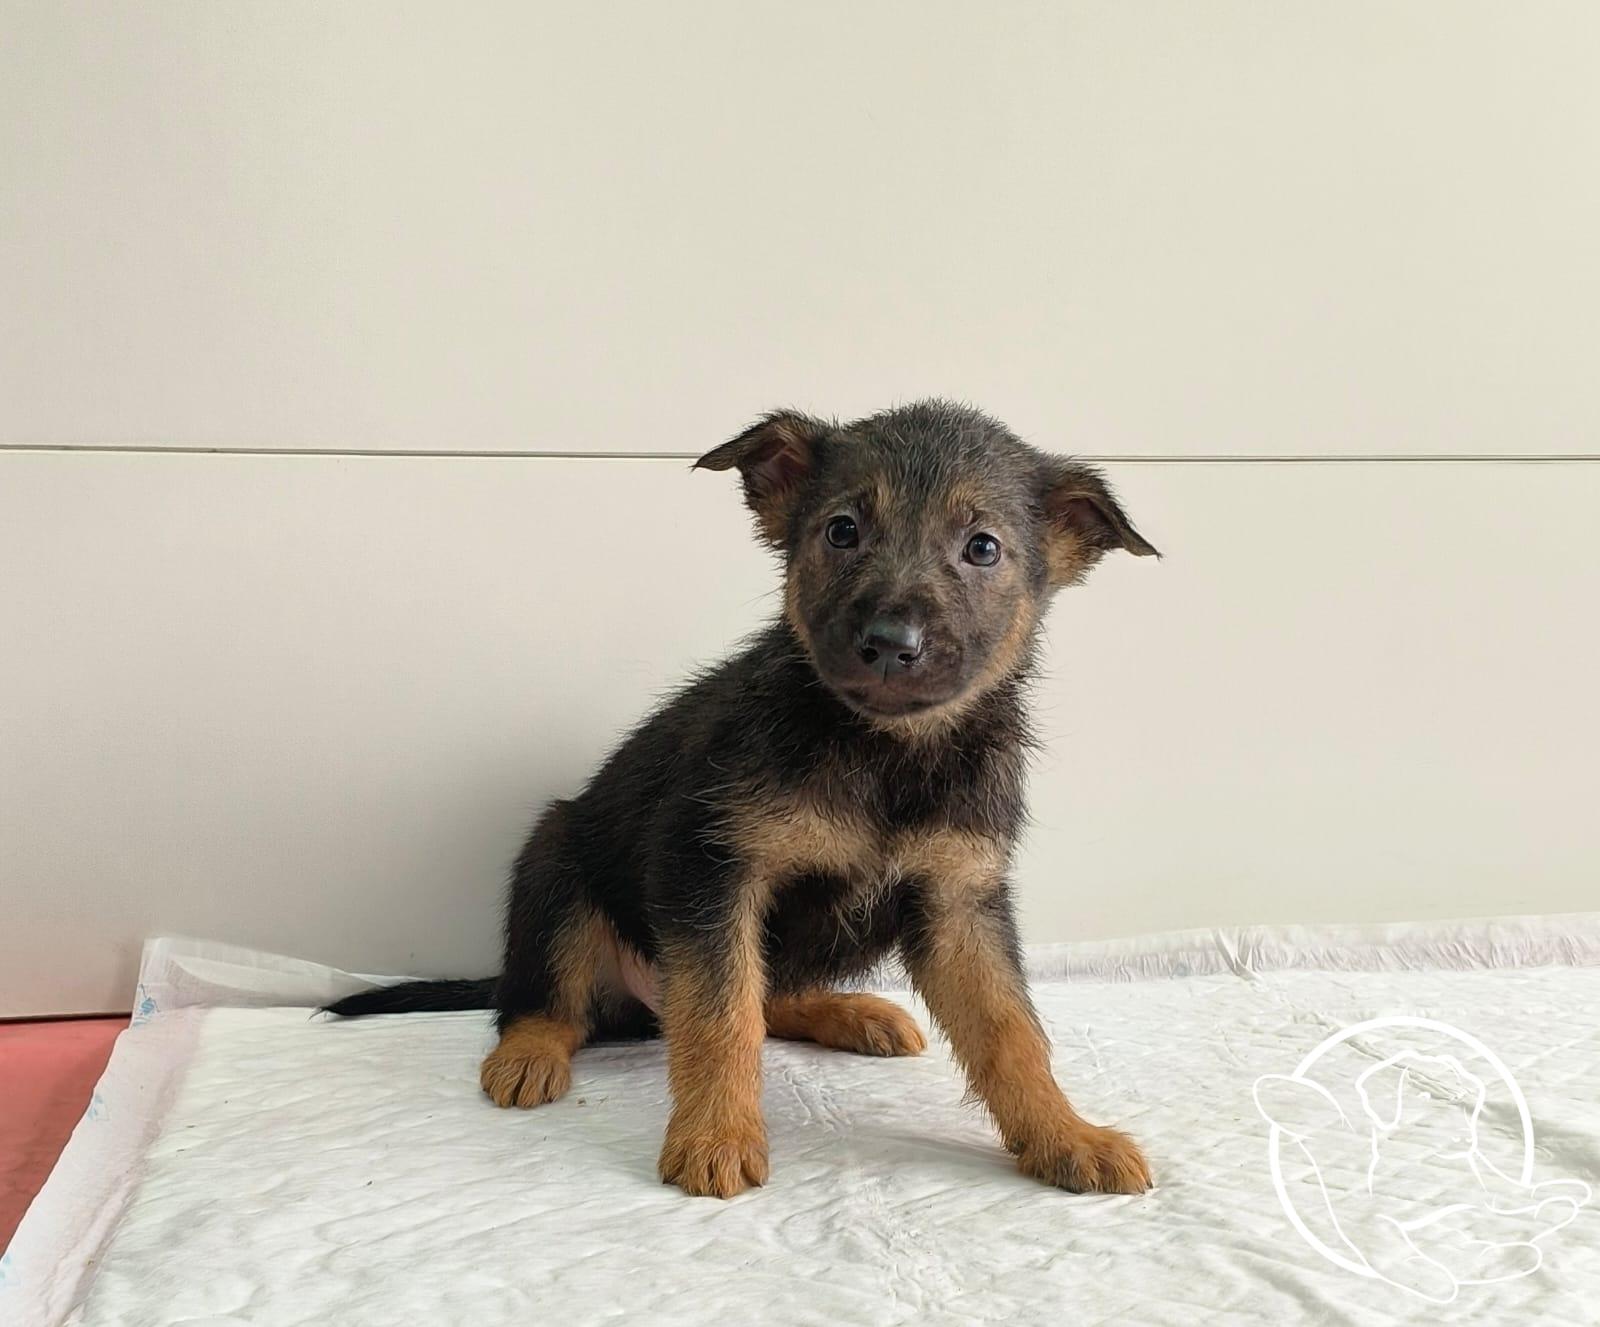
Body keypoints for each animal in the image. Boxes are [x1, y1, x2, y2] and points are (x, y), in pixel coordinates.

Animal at [327, 399, 1159, 1198]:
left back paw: (848, 1009)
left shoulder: (959, 902)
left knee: (767, 996)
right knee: (546, 1001)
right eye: (843, 530)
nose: (892, 643)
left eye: (983, 547)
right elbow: (721, 1015)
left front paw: (1066, 1134)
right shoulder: (711, 869)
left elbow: (1012, 1031)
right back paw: (529, 1051)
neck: (884, 750)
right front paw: (715, 1136)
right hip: (554, 864)